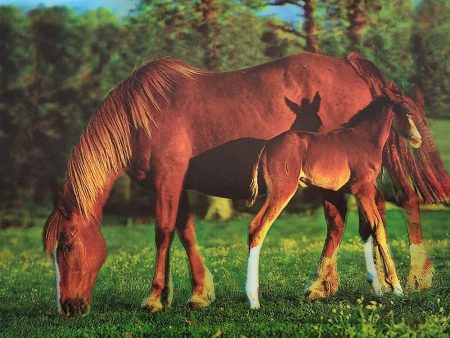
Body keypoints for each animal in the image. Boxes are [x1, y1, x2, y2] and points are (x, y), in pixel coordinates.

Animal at [244, 84, 420, 308]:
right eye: (407, 112)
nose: (417, 139)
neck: (365, 139)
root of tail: (266, 147)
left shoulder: (358, 192)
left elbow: (366, 230)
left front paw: (378, 287)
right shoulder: (361, 189)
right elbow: (378, 228)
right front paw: (396, 287)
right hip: (282, 191)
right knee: (258, 227)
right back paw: (253, 299)